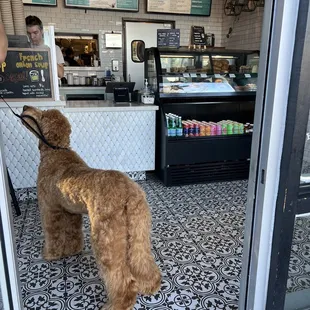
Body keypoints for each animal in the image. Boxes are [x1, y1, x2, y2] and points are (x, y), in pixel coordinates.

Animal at [20, 106, 161, 310]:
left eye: (42, 114)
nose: (24, 107)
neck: (55, 151)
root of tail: (128, 192)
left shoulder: (49, 209)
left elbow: (53, 234)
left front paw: (51, 254)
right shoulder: (71, 211)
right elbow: (72, 232)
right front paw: (73, 250)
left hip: (105, 240)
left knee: (121, 279)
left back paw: (117, 304)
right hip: (139, 231)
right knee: (142, 261)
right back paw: (150, 284)